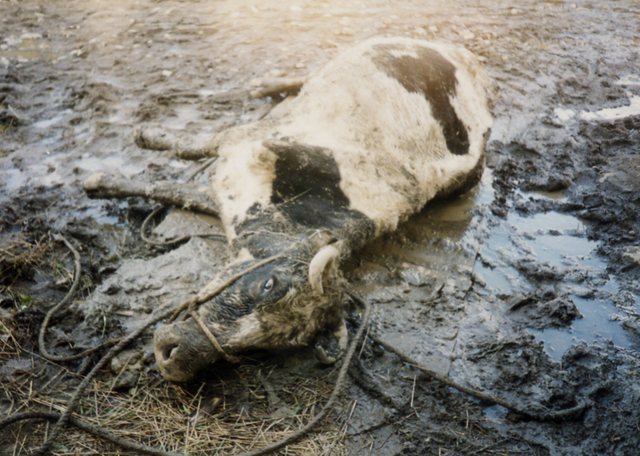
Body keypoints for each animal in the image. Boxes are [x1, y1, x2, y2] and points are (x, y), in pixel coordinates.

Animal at [84, 37, 493, 382]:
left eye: (271, 346)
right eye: (269, 284)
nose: (174, 357)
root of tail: (469, 60)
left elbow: (173, 188)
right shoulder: (245, 140)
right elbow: (185, 152)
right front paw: (127, 150)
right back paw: (262, 85)